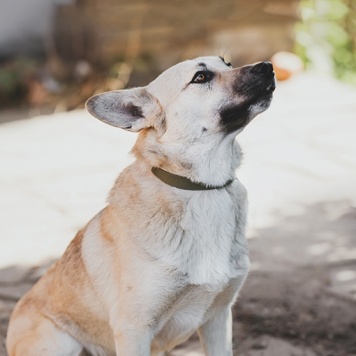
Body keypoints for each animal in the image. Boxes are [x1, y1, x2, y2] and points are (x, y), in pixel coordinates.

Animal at [6, 56, 276, 356]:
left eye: (227, 63)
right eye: (201, 77)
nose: (267, 66)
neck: (202, 189)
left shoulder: (218, 319)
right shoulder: (133, 329)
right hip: (62, 341)